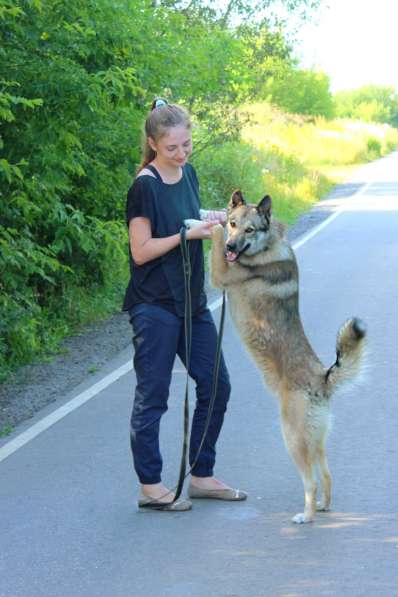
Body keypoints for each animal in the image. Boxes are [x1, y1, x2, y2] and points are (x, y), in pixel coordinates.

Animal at [210, 190, 368, 520]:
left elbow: (213, 240)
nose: (232, 247)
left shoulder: (220, 275)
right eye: (234, 223)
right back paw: (322, 506)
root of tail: (323, 380)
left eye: (249, 230)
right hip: (315, 440)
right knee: (327, 476)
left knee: (311, 482)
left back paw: (306, 516)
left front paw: (203, 225)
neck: (265, 246)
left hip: (292, 438)